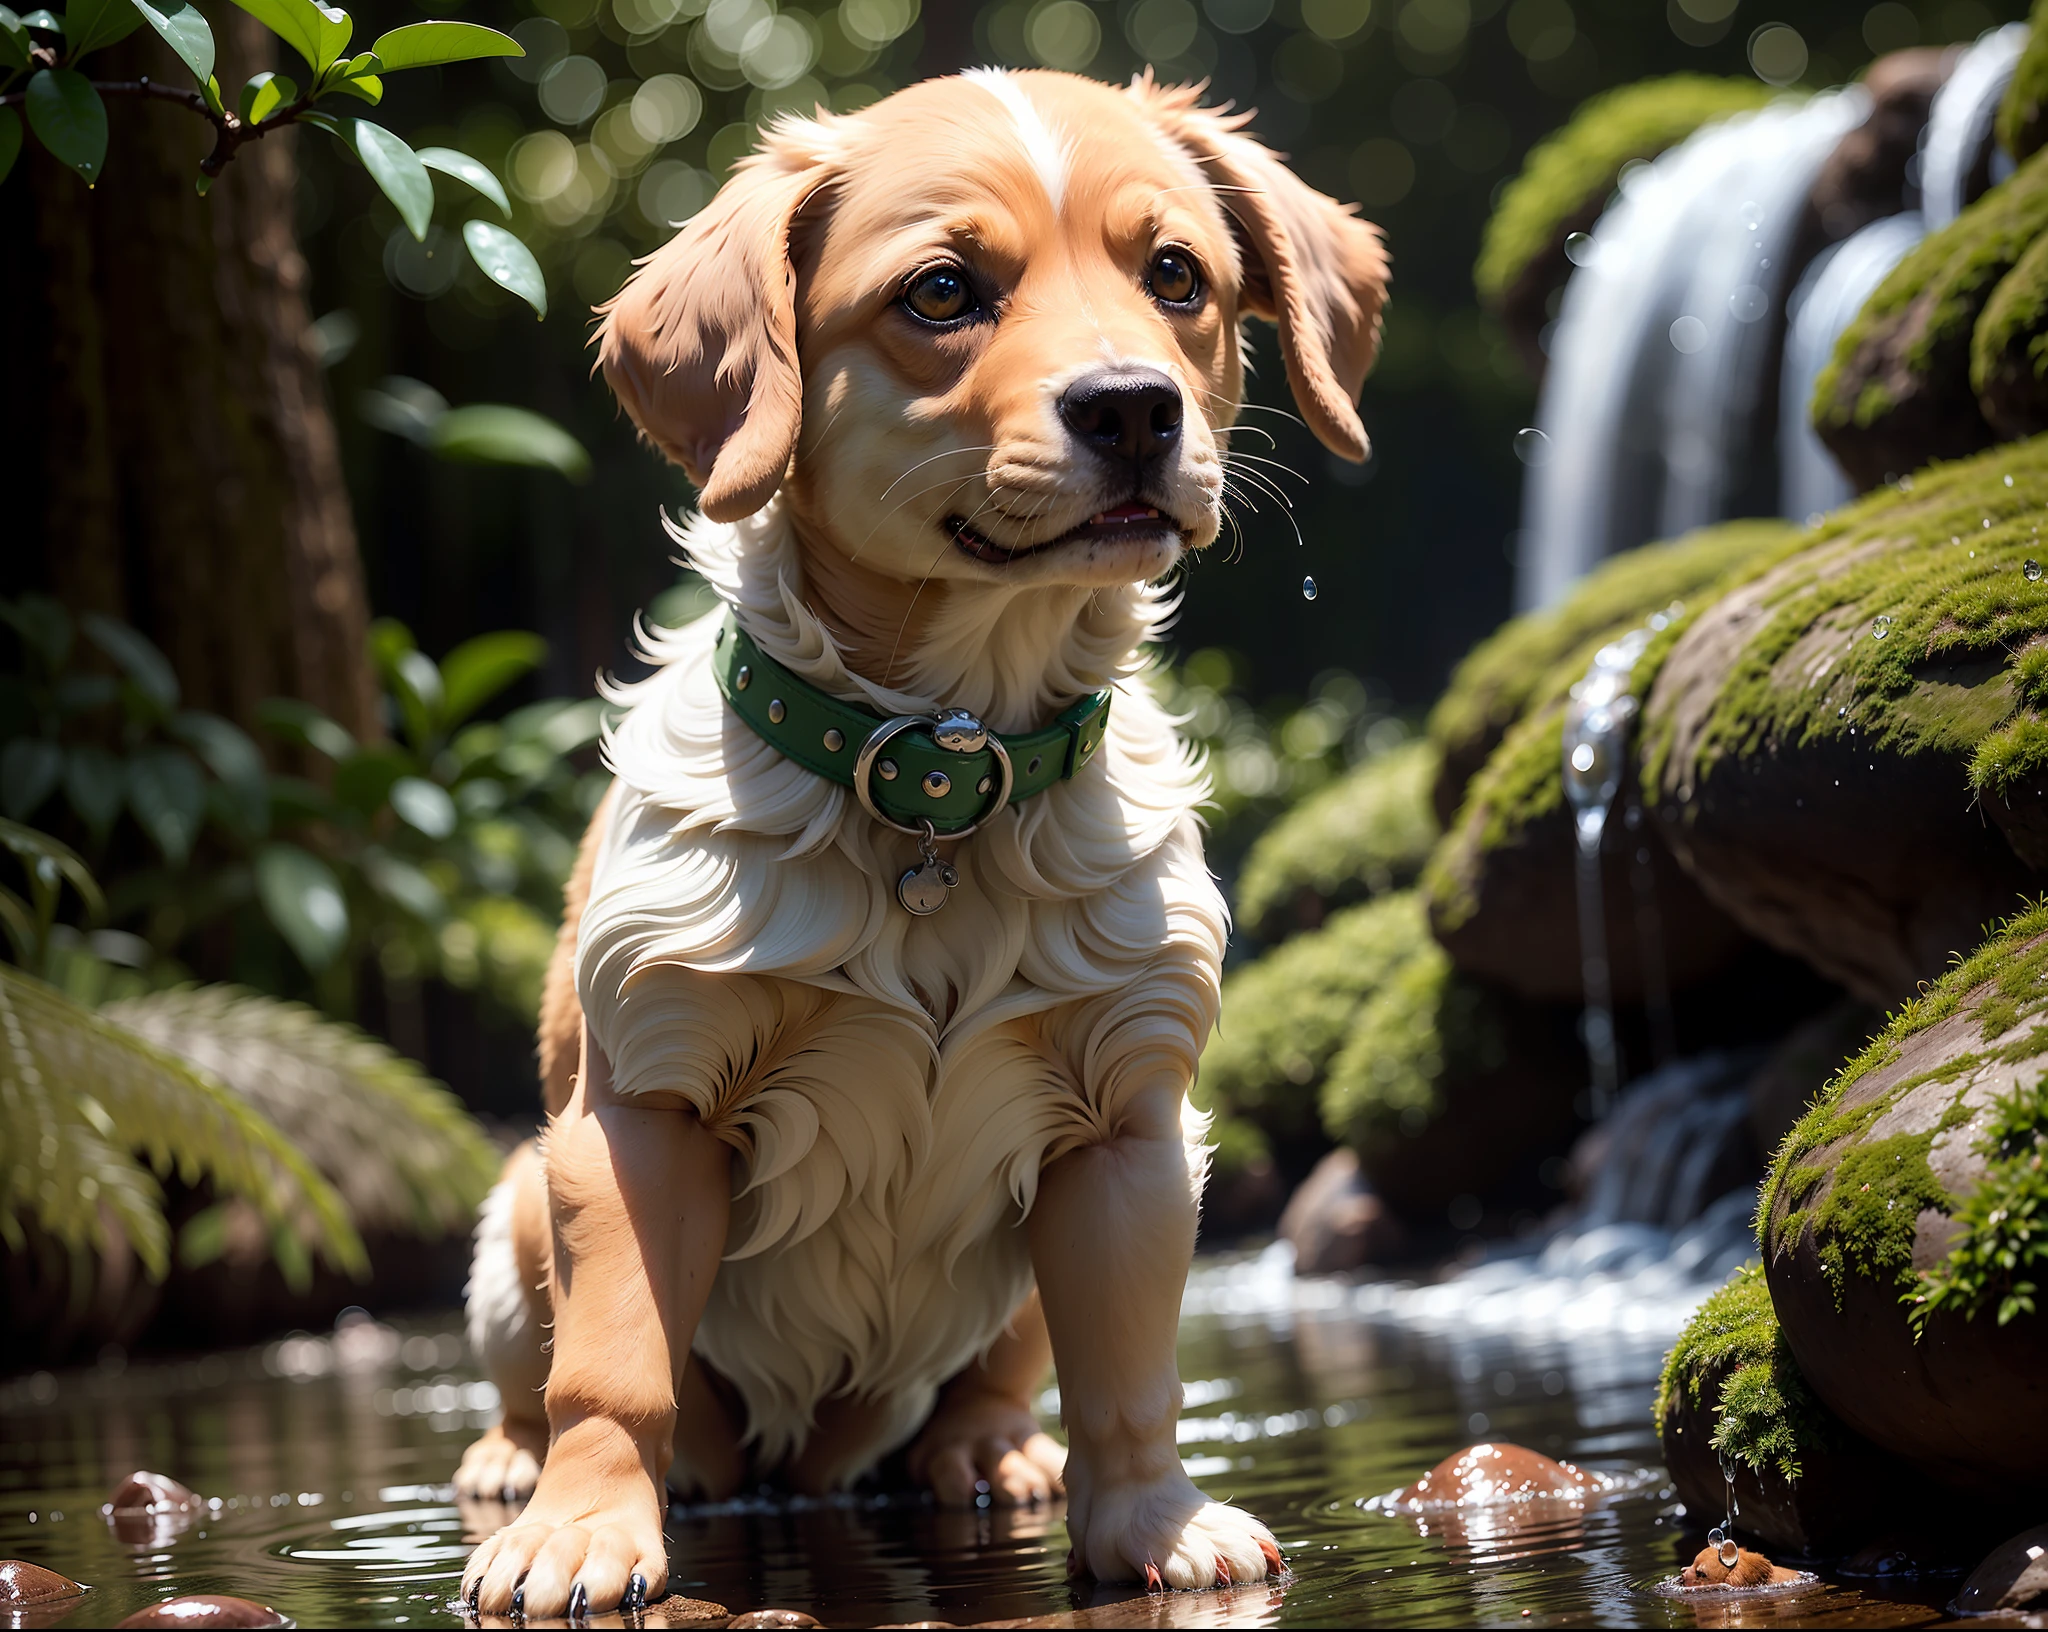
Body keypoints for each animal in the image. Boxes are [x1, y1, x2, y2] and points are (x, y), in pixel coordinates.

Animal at [460, 67, 1392, 1613]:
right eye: (943, 290)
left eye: (1175, 276)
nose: (1133, 410)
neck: (945, 775)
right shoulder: (643, 1112)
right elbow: (616, 1367)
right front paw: (582, 1531)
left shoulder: (1128, 1127)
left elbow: (1130, 1374)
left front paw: (1152, 1521)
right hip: (509, 1225)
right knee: (536, 1382)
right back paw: (507, 1465)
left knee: (1001, 1382)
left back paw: (993, 1453)